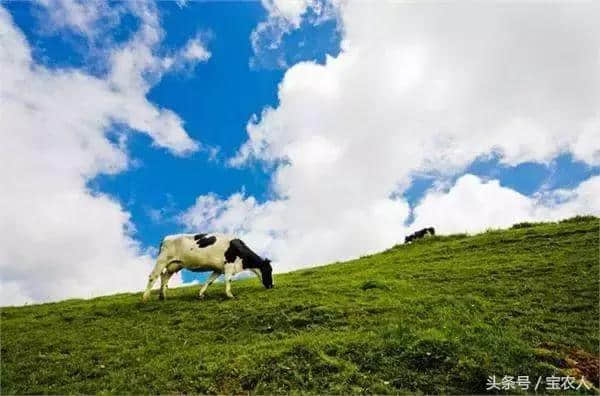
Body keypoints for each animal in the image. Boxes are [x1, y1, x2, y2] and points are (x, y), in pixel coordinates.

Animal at [142, 234, 274, 302]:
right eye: (269, 270)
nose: (272, 286)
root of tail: (166, 238)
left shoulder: (218, 269)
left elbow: (209, 281)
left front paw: (201, 294)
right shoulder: (229, 264)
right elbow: (228, 280)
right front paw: (230, 295)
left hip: (174, 265)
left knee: (164, 277)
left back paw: (162, 296)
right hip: (162, 260)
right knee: (153, 276)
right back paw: (145, 298)